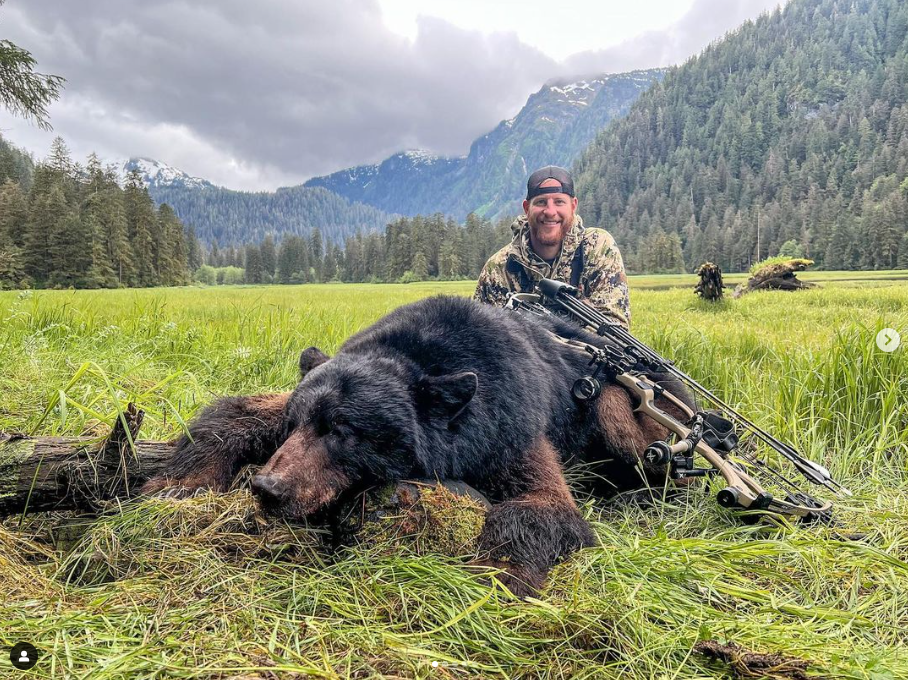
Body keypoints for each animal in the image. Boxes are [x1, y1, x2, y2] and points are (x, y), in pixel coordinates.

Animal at [144, 294, 696, 592]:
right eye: (299, 424)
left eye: (344, 430)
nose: (267, 488)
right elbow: (237, 412)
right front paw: (175, 484)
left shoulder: (511, 423)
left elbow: (543, 507)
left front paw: (496, 575)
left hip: (623, 405)